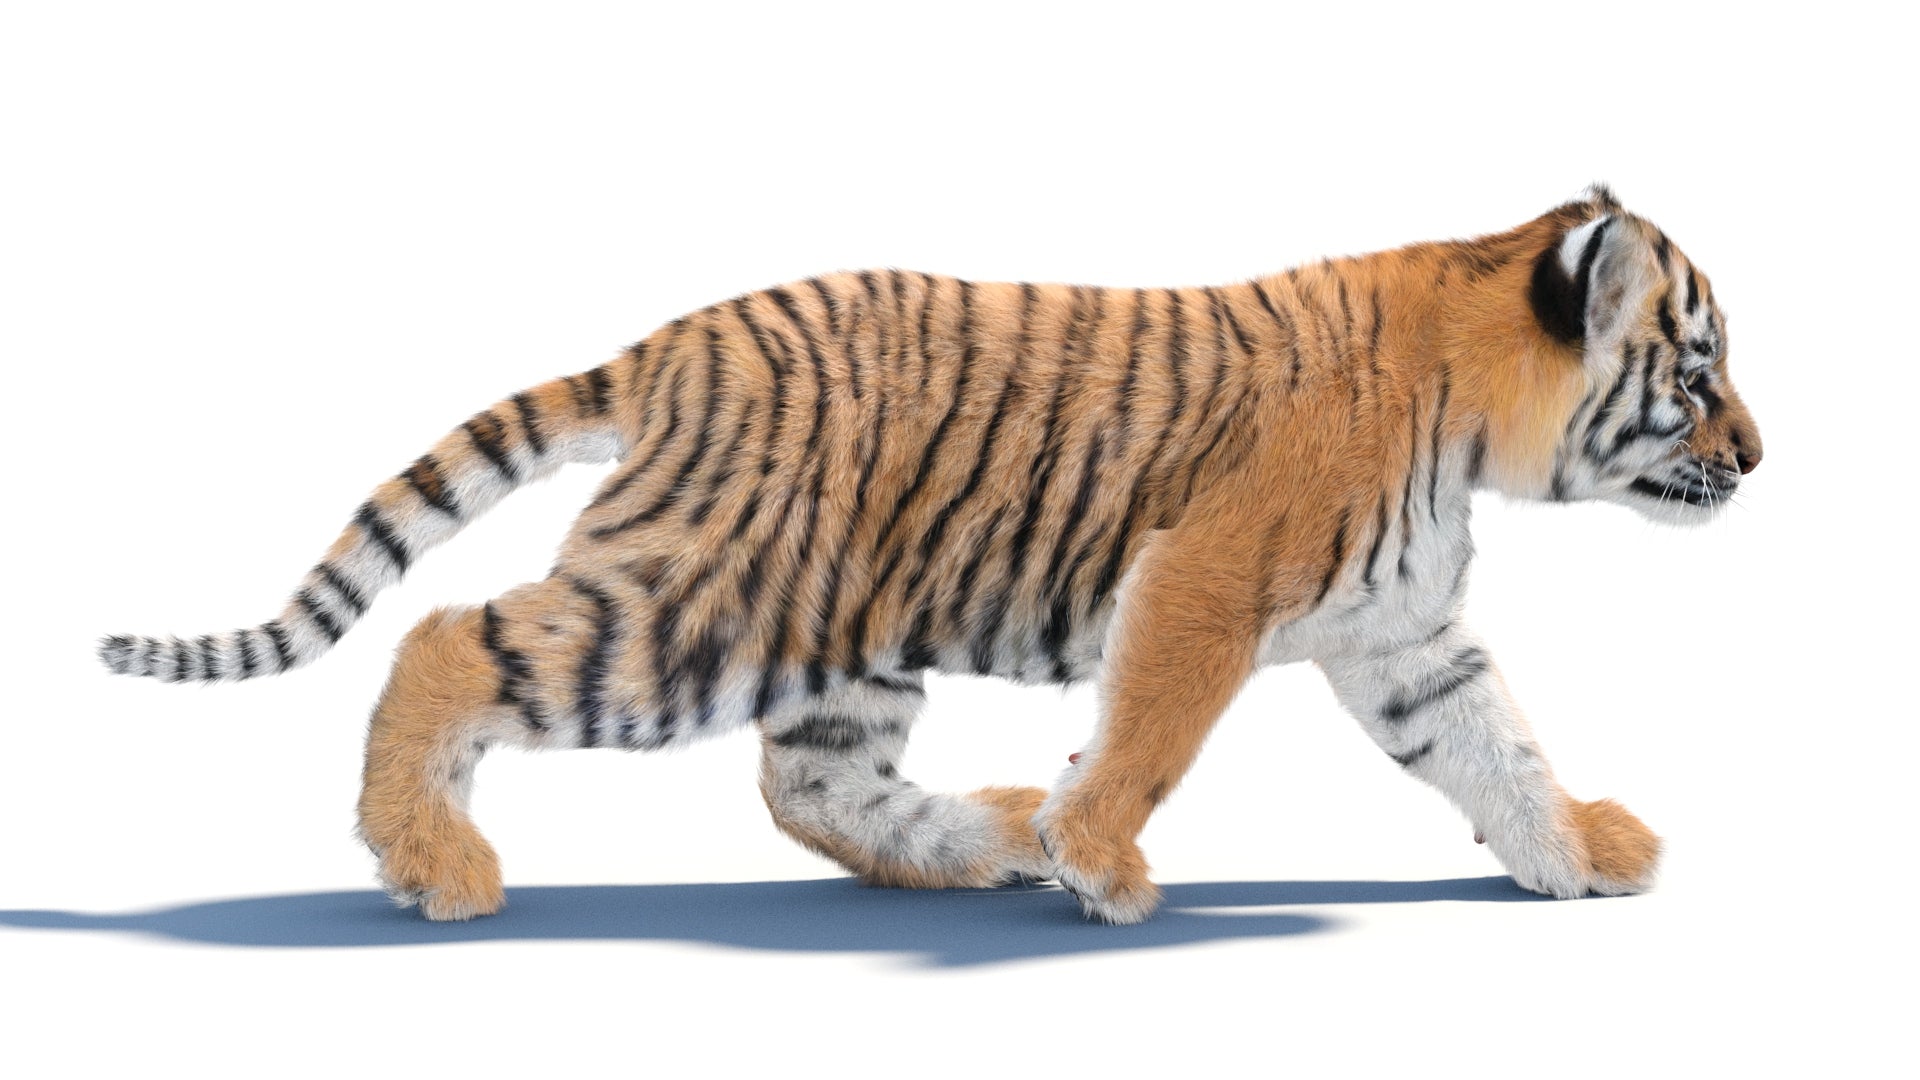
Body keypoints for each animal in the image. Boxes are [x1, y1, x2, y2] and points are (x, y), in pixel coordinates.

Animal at [100, 186, 1761, 925]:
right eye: (1697, 371)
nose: (1759, 457)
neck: (1478, 411)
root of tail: (673, 345)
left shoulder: (1404, 634)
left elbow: (1496, 745)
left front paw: (1580, 852)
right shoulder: (1202, 581)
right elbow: (1152, 734)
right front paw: (1105, 863)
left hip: (836, 637)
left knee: (808, 785)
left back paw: (989, 839)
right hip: (693, 607)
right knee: (447, 638)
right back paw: (433, 867)